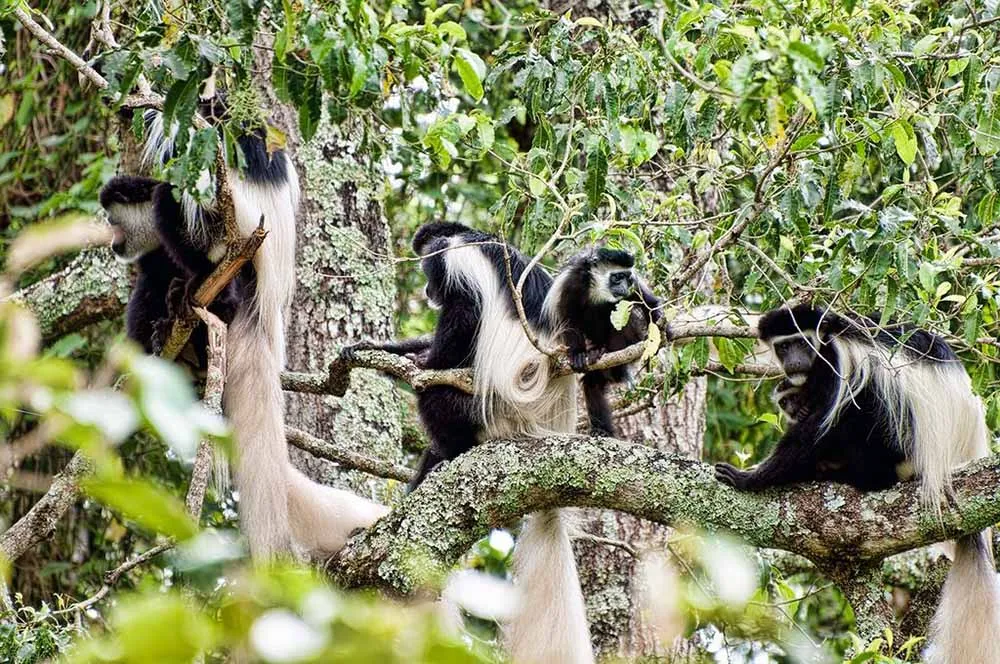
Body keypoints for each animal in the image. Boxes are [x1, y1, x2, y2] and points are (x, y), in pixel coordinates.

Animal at [344, 223, 592, 664]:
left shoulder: (458, 268)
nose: (428, 290)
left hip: (492, 415)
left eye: (428, 272)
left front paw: (424, 365)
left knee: (436, 398)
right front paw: (381, 347)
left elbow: (461, 319)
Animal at [720, 304, 1000, 664]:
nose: (795, 362)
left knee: (866, 405)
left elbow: (819, 427)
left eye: (801, 342)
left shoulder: (837, 363)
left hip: (905, 445)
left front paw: (750, 477)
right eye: (783, 347)